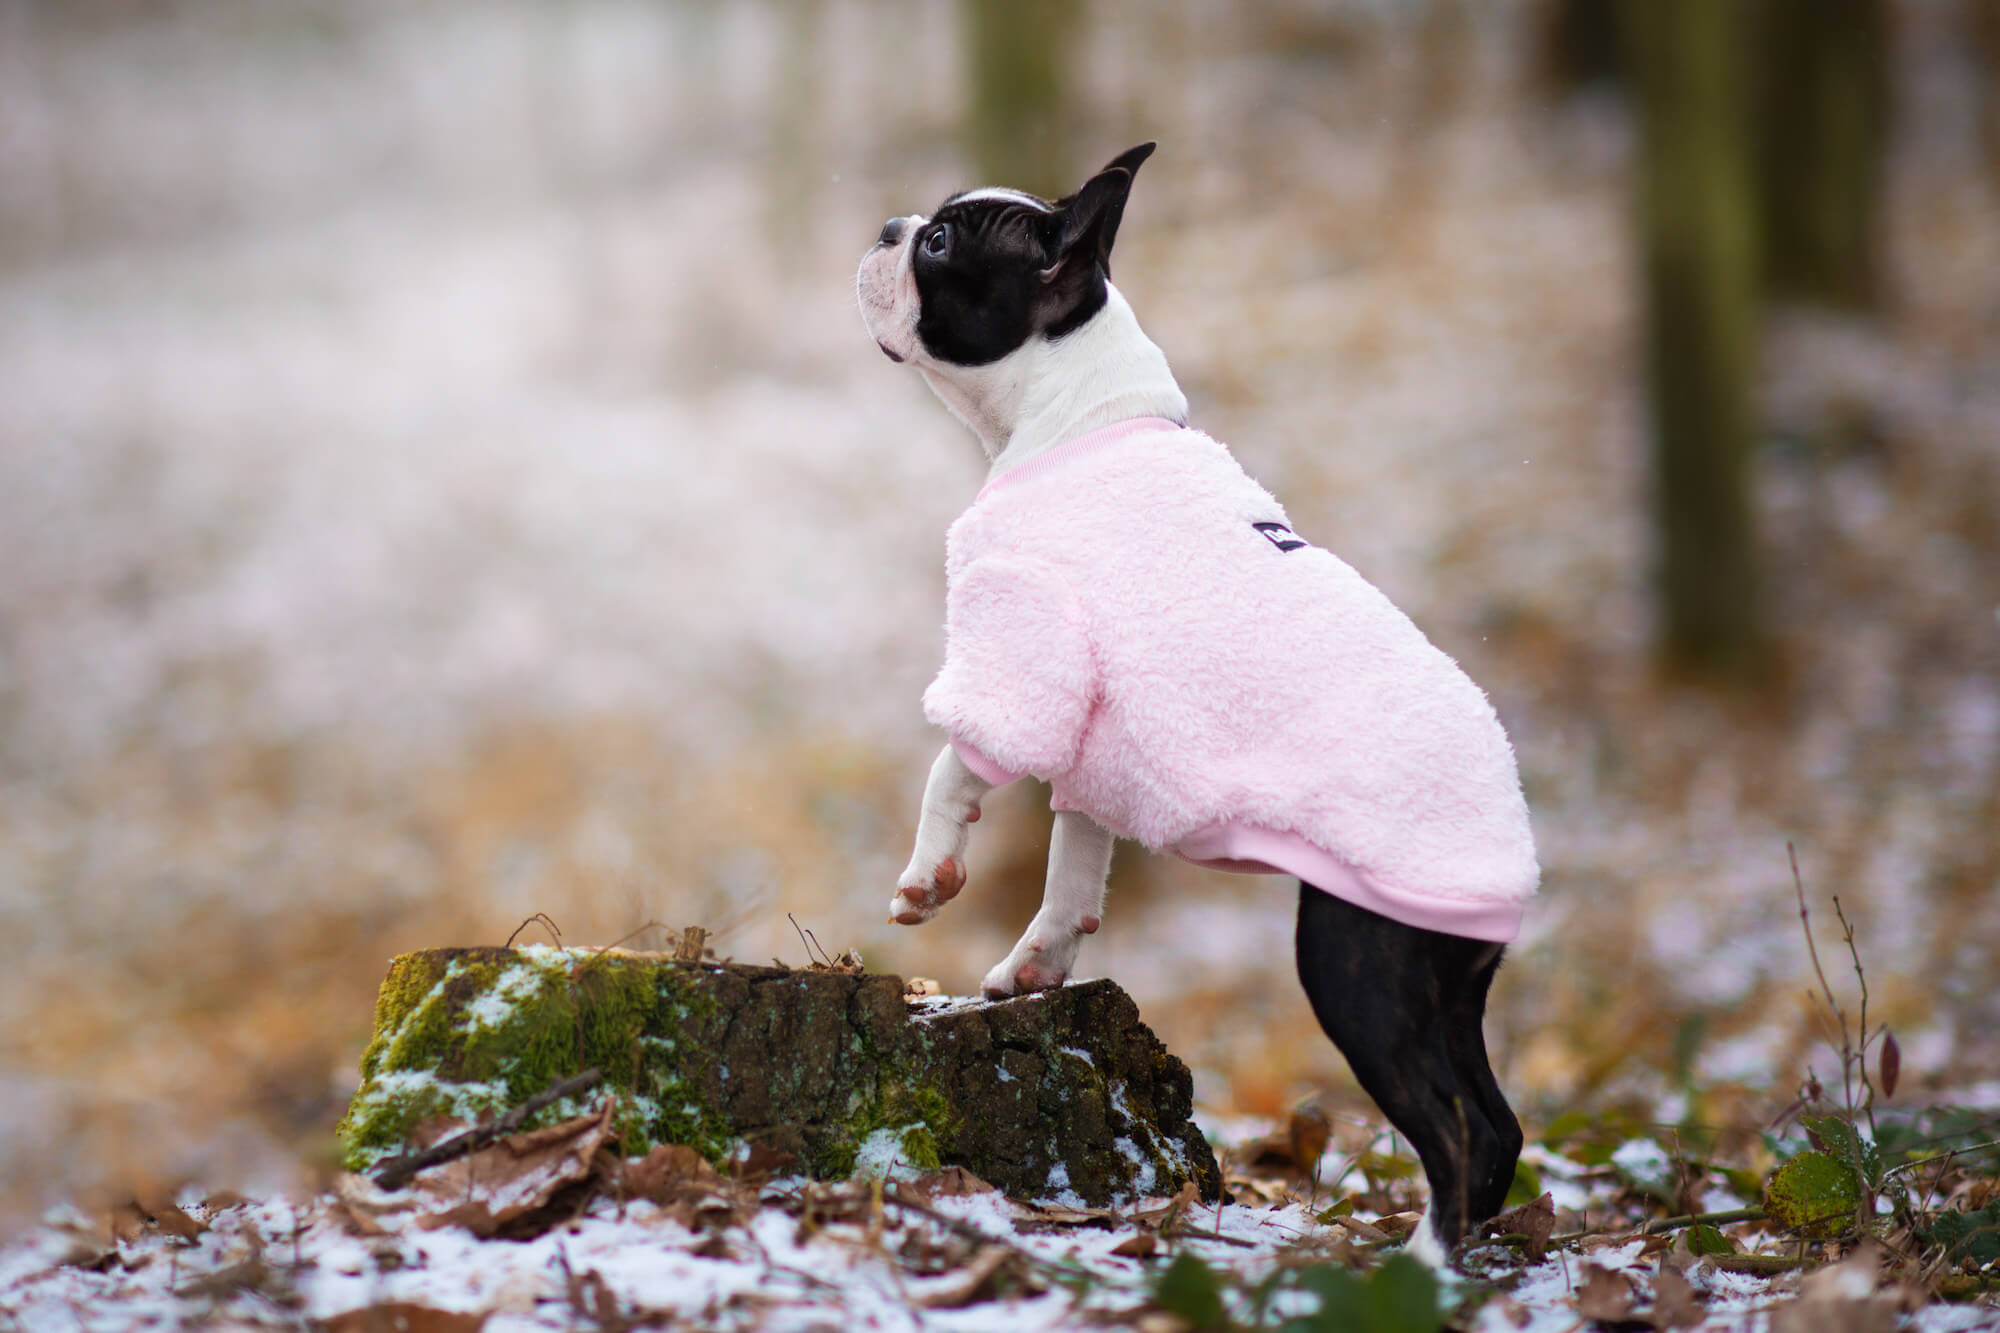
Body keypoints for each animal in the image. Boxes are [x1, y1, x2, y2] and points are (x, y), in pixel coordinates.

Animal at [852, 140, 1536, 1264]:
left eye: (942, 242)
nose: (888, 226)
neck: (1069, 412)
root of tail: (1516, 842)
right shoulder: (1091, 726)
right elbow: (1075, 855)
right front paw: (1037, 961)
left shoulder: (1025, 635)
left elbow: (955, 764)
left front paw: (926, 877)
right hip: (1450, 992)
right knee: (1497, 1118)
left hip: (1359, 962)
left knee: (1450, 1124)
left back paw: (1424, 1262)